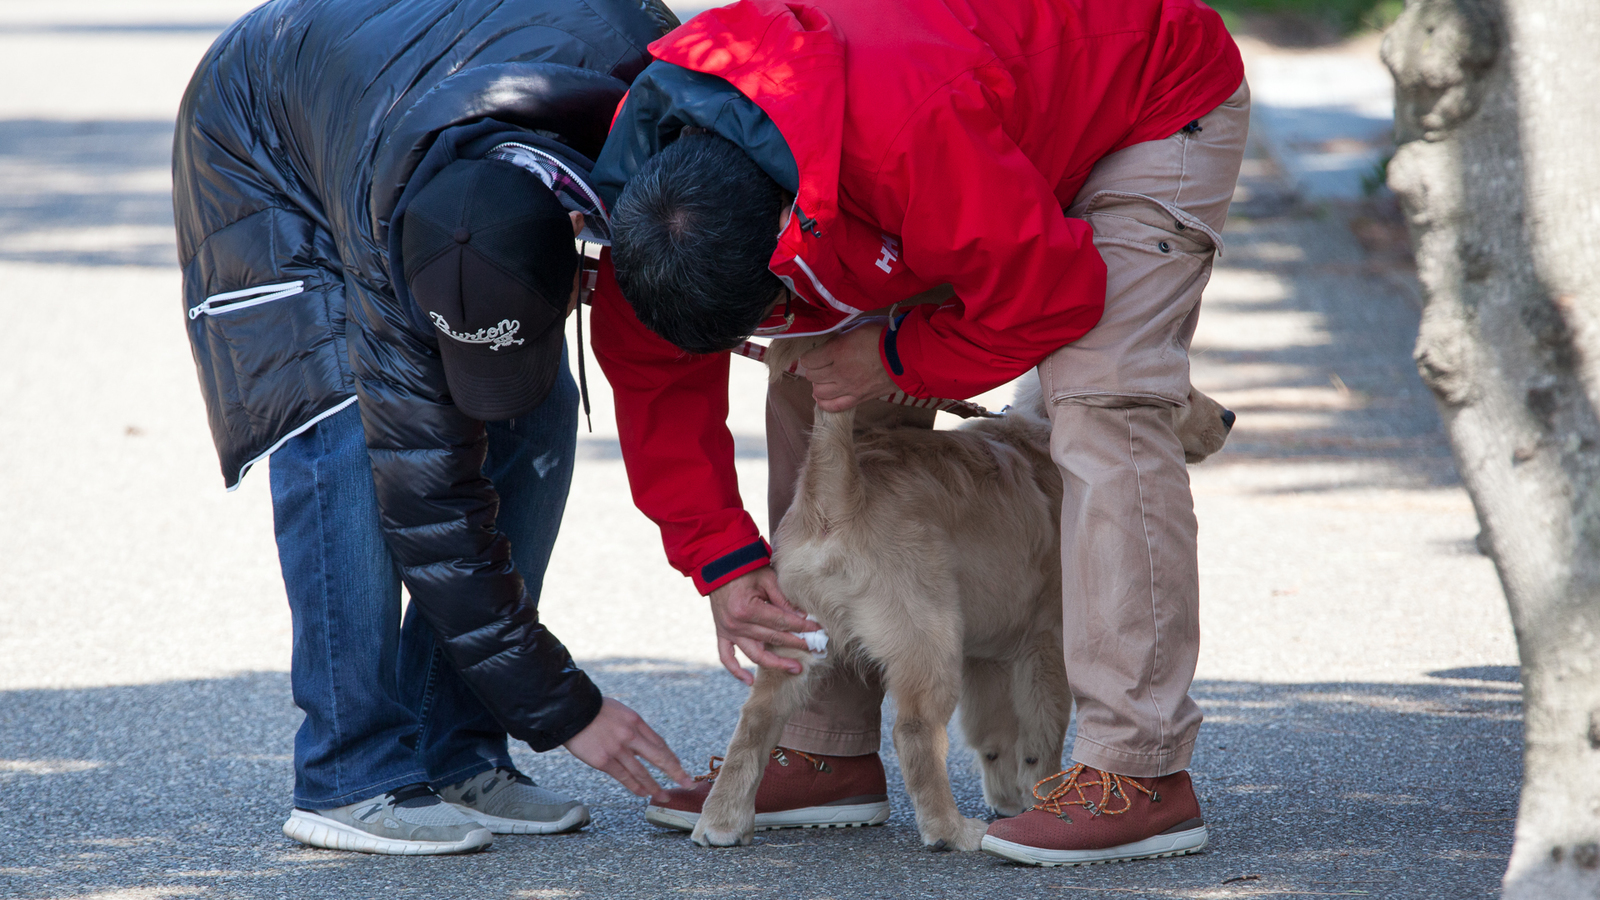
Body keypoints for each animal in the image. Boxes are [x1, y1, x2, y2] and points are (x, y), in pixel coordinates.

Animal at [691, 336, 1235, 845]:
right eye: (1181, 394)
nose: (1230, 416)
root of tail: (839, 497)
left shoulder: (986, 653)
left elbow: (994, 732)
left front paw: (1011, 800)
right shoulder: (1046, 640)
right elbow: (1041, 730)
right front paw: (1040, 796)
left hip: (795, 639)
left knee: (756, 720)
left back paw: (721, 821)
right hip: (928, 637)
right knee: (914, 731)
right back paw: (949, 830)